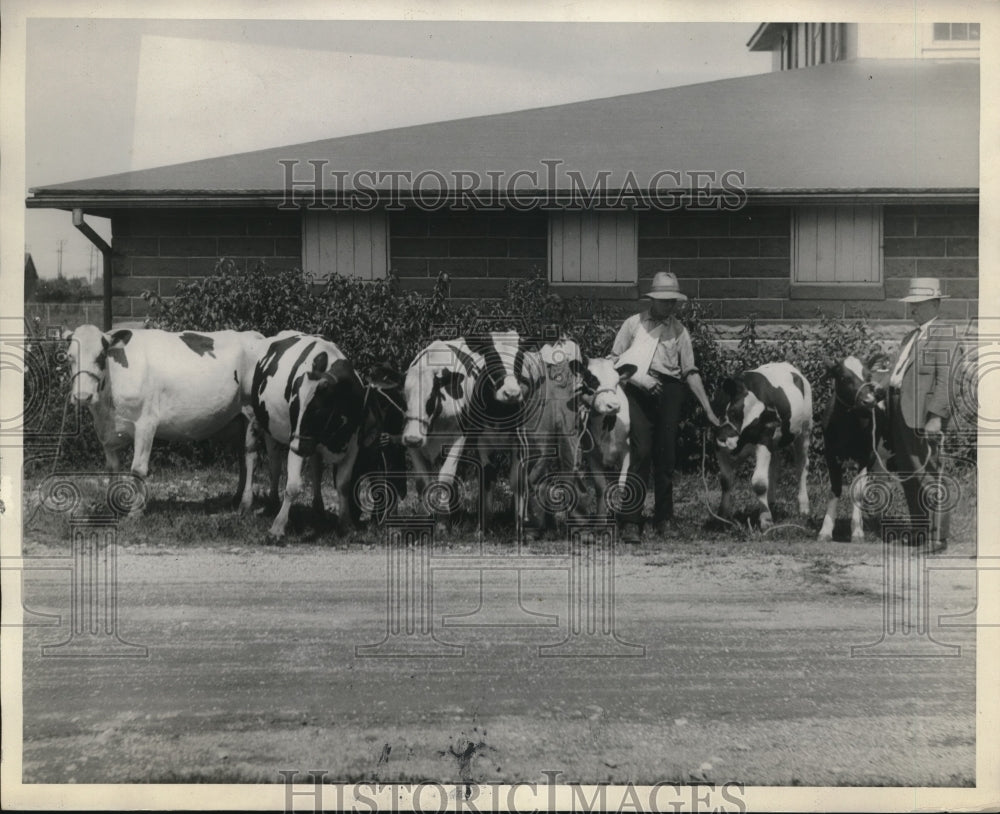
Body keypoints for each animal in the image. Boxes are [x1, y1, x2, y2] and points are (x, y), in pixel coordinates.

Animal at [62, 326, 266, 504]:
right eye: (69, 357)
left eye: (101, 355)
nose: (82, 396)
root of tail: (254, 335)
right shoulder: (107, 432)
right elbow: (112, 469)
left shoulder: (146, 423)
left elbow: (137, 469)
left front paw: (135, 512)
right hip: (237, 419)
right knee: (241, 457)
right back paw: (235, 498)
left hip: (251, 412)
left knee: (251, 456)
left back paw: (246, 502)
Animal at [712, 362, 812, 528]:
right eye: (733, 412)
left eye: (758, 423)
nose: (728, 441)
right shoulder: (718, 444)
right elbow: (726, 480)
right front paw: (722, 517)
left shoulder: (764, 440)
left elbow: (759, 483)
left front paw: (765, 519)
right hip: (775, 443)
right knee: (774, 467)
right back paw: (771, 504)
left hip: (804, 431)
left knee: (801, 467)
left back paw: (803, 507)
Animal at [816, 354, 896, 544]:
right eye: (844, 378)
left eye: (868, 377)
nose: (869, 401)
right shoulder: (831, 455)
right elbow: (835, 489)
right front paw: (826, 530)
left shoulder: (866, 456)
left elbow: (858, 491)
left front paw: (857, 531)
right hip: (881, 458)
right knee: (884, 483)